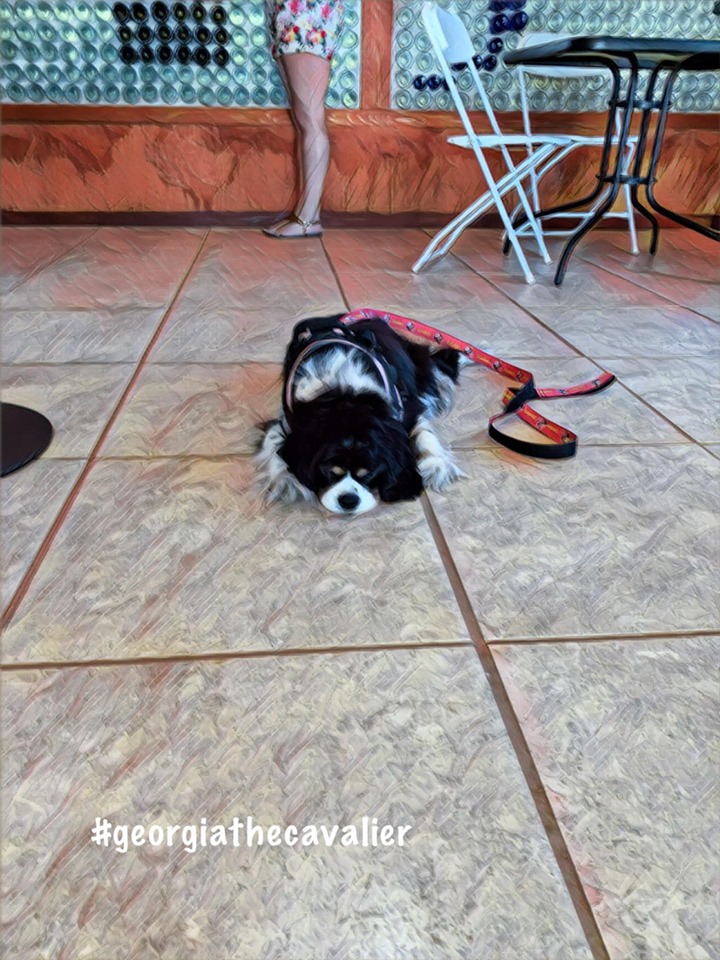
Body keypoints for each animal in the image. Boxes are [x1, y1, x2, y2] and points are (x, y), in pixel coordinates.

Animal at [255, 314, 465, 516]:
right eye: (328, 470)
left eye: (368, 472)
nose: (348, 500)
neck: (345, 396)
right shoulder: (289, 420)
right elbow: (274, 440)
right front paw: (285, 481)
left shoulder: (407, 408)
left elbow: (424, 432)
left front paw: (436, 464)